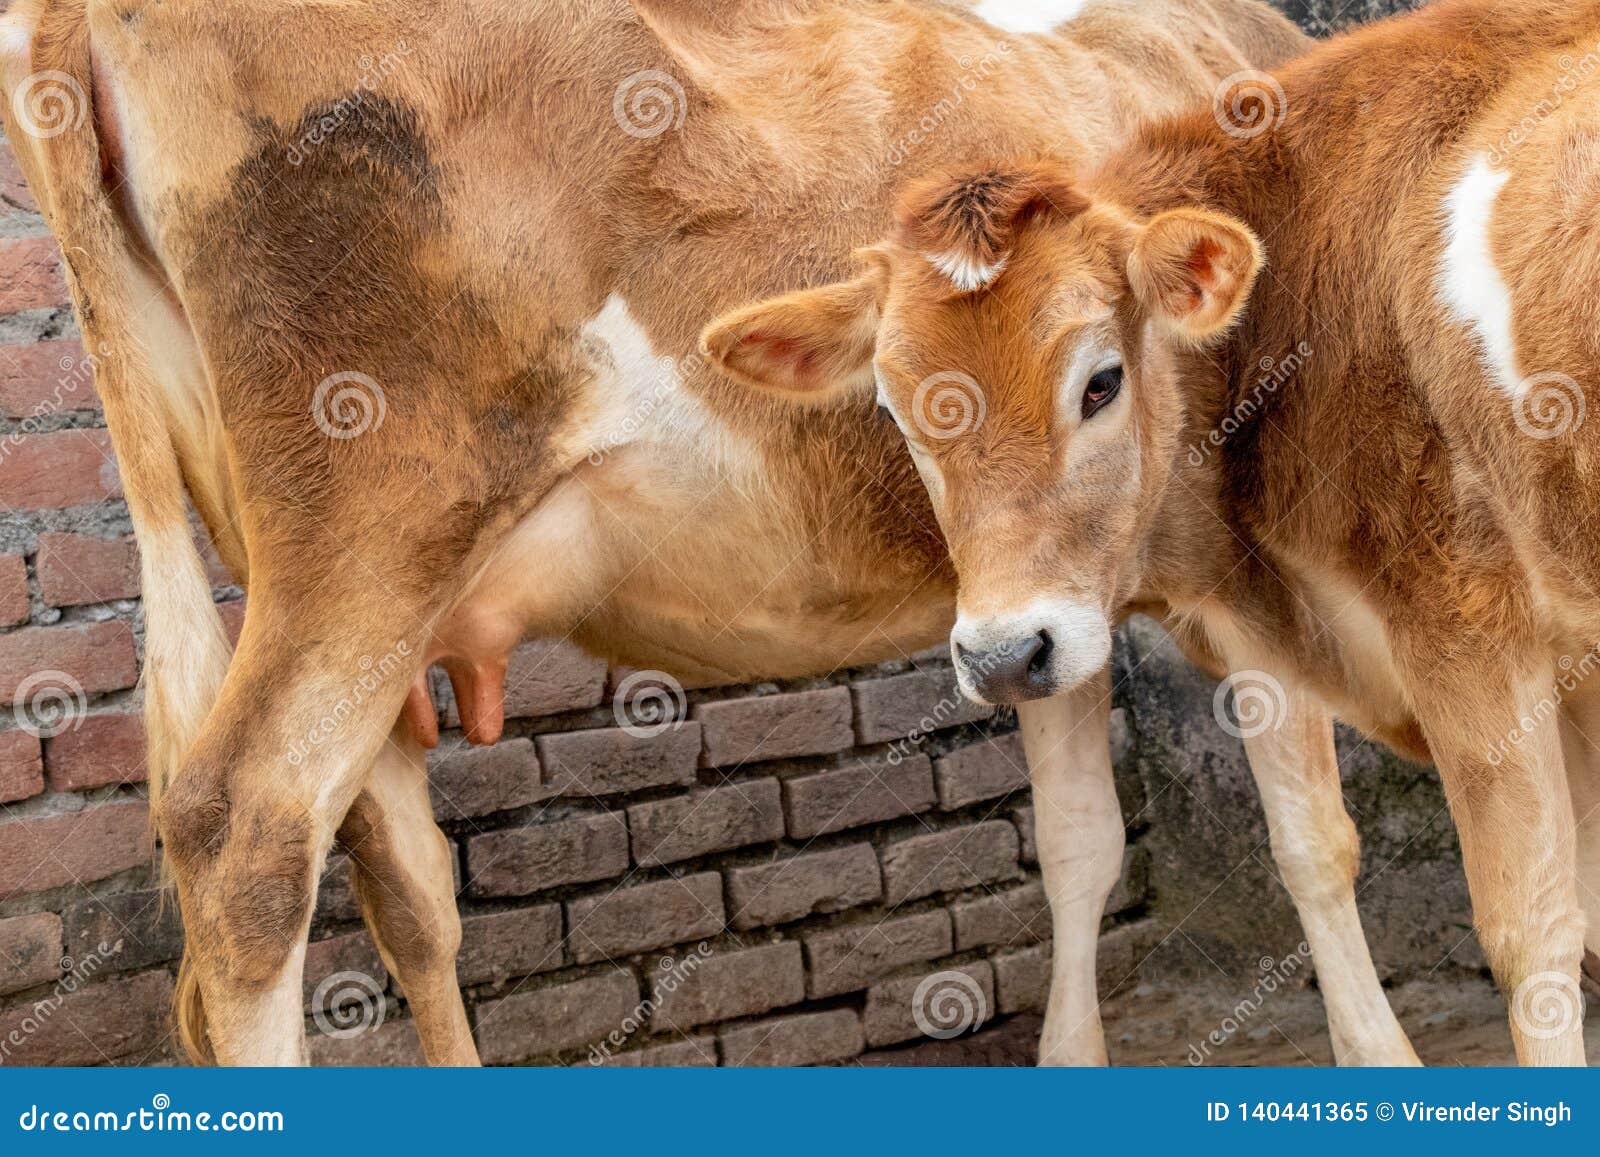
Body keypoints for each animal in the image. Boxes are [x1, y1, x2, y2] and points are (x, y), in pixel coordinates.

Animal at [0, 0, 1359, 1066]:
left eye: (1097, 382)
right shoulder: (1237, 568)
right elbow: (1316, 842)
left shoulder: (1046, 610)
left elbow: (1080, 841)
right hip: (367, 525)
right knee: (246, 833)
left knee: (400, 872)